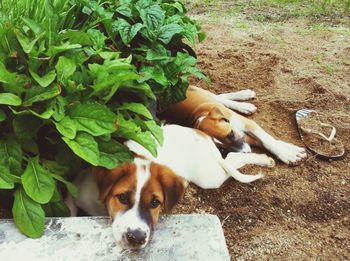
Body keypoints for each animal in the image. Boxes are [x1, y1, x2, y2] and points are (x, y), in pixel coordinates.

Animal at [69, 123, 276, 248]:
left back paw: (265, 159)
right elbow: (70, 208)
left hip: (209, 177)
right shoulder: (78, 188)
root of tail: (201, 135)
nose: (137, 238)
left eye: (155, 203)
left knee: (231, 159)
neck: (102, 208)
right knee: (231, 157)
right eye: (122, 198)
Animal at [160, 86, 308, 166]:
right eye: (223, 149)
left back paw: (244, 101)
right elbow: (263, 142)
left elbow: (268, 140)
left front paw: (287, 153)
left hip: (200, 91)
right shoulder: (245, 137)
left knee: (219, 97)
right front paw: (291, 150)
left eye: (230, 134)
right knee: (220, 98)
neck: (202, 115)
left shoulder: (249, 125)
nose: (247, 151)